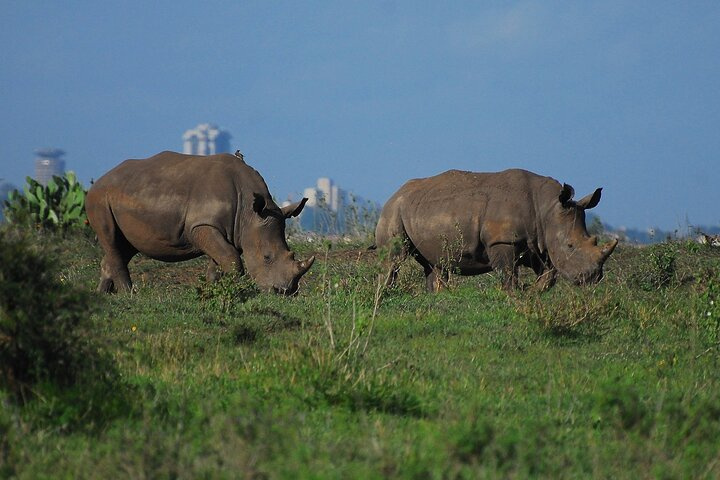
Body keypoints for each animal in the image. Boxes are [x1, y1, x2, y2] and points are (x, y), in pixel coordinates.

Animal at [86, 151, 314, 294]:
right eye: (267, 257)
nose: (285, 292)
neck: (249, 213)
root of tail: (99, 180)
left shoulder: (226, 229)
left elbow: (220, 260)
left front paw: (213, 289)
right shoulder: (203, 225)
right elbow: (231, 258)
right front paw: (235, 288)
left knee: (124, 246)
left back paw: (102, 295)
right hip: (100, 198)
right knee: (111, 239)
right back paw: (129, 294)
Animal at [374, 168, 617, 292]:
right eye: (570, 245)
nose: (593, 278)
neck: (547, 208)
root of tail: (395, 192)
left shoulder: (538, 242)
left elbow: (548, 275)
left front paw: (532, 293)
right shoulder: (503, 241)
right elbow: (508, 275)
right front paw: (515, 296)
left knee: (434, 264)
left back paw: (438, 298)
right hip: (394, 210)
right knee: (394, 258)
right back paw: (386, 295)